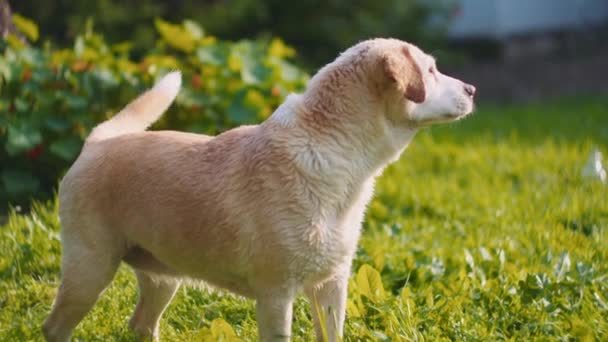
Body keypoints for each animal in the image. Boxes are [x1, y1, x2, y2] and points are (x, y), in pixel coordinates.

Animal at [42, 38, 476, 340]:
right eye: (431, 70)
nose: (472, 89)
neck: (338, 151)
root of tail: (99, 140)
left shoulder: (331, 286)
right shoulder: (275, 296)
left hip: (162, 278)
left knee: (141, 326)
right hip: (89, 271)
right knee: (55, 328)